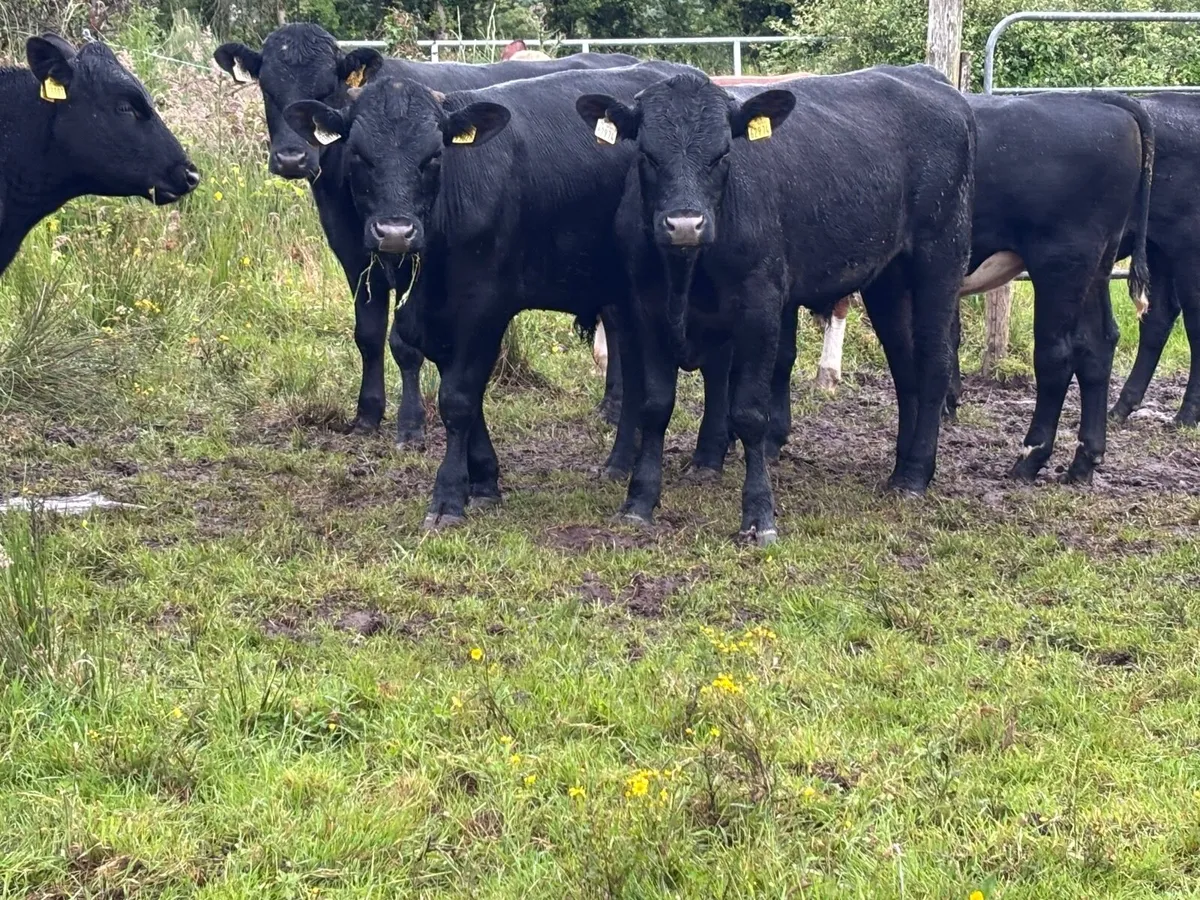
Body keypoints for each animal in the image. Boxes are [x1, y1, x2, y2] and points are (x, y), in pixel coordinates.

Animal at [214, 23, 637, 446]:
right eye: (268, 89)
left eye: (325, 88)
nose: (291, 158)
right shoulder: (356, 257)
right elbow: (368, 334)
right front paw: (368, 413)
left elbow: (404, 342)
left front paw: (411, 423)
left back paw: (614, 406)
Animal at [283, 62, 697, 529]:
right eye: (358, 155)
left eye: (434, 156)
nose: (394, 232)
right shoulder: (433, 319)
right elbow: (465, 394)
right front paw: (483, 480)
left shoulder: (484, 306)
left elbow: (459, 398)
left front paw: (448, 497)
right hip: (621, 294)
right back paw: (618, 463)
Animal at [576, 66, 976, 545]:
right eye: (648, 155)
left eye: (723, 154)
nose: (685, 225)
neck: (687, 273)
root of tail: (928, 78)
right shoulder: (647, 307)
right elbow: (655, 405)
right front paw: (640, 500)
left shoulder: (760, 308)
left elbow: (750, 412)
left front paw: (758, 514)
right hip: (889, 280)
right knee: (905, 369)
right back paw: (901, 469)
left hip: (941, 257)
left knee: (934, 362)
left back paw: (916, 474)